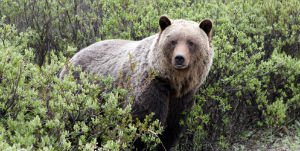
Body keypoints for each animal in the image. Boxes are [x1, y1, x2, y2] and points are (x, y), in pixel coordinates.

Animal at [59, 15, 213, 150]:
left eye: (191, 42)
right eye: (173, 41)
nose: (179, 58)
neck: (173, 83)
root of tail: (71, 58)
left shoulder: (182, 99)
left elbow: (169, 131)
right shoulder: (149, 87)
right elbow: (139, 125)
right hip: (79, 98)